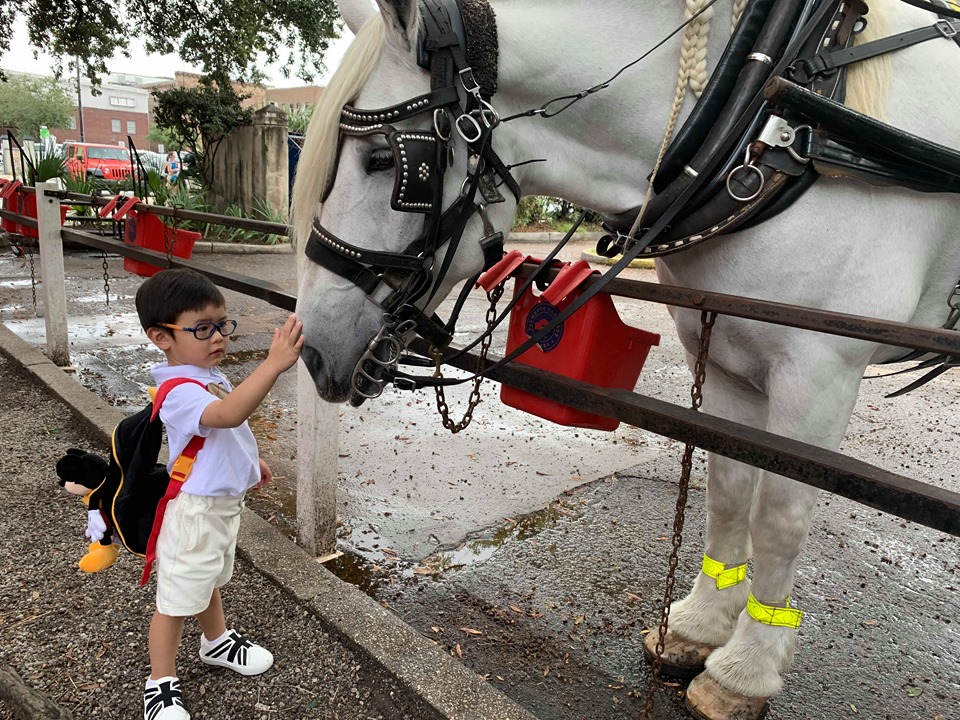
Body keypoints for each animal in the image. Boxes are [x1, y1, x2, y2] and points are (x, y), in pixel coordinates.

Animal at [292, 2, 960, 716]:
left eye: (384, 160)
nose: (312, 347)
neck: (772, 122)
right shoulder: (727, 359)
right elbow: (728, 491)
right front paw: (698, 627)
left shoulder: (819, 372)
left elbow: (779, 519)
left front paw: (744, 672)